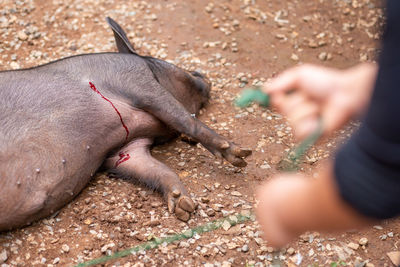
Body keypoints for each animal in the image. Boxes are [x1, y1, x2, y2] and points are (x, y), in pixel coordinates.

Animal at [0, 17, 250, 232]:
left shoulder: (125, 148)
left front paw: (183, 206)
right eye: (187, 71)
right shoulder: (138, 82)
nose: (204, 75)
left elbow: (156, 170)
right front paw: (240, 155)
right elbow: (185, 120)